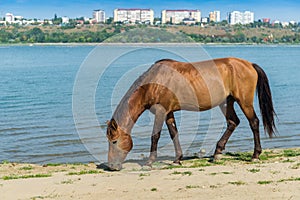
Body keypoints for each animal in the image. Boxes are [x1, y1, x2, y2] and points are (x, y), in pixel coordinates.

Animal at [106, 57, 276, 171]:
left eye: (114, 141)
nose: (112, 166)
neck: (154, 81)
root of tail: (250, 65)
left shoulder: (161, 111)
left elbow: (155, 136)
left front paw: (149, 162)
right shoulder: (168, 113)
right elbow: (174, 133)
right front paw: (177, 159)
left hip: (244, 102)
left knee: (254, 122)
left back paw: (255, 155)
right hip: (227, 102)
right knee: (233, 122)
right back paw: (217, 153)